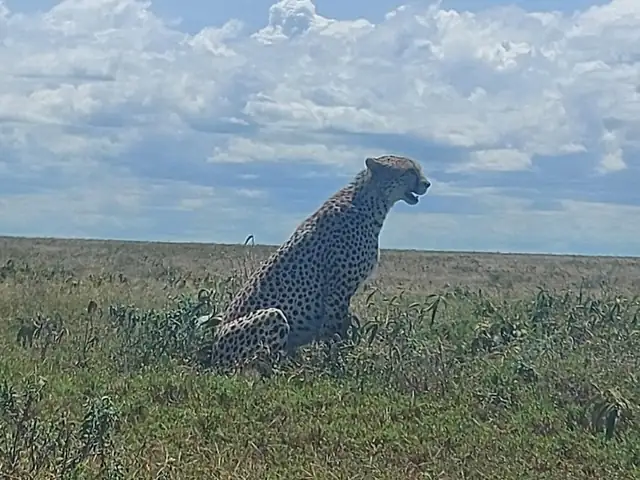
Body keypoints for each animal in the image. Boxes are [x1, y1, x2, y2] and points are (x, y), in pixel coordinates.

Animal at [201, 154, 431, 370]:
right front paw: (338, 365)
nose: (427, 183)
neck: (370, 202)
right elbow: (335, 333)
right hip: (273, 316)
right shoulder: (338, 290)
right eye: (410, 171)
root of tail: (214, 354)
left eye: (418, 168)